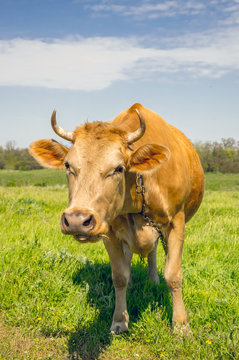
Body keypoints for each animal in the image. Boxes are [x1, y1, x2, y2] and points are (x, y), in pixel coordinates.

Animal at [29, 102, 204, 334]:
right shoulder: (109, 231)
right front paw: (120, 320)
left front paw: (181, 325)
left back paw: (153, 279)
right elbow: (119, 276)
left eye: (119, 168)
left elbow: (173, 275)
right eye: (67, 165)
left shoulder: (176, 223)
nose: (77, 220)